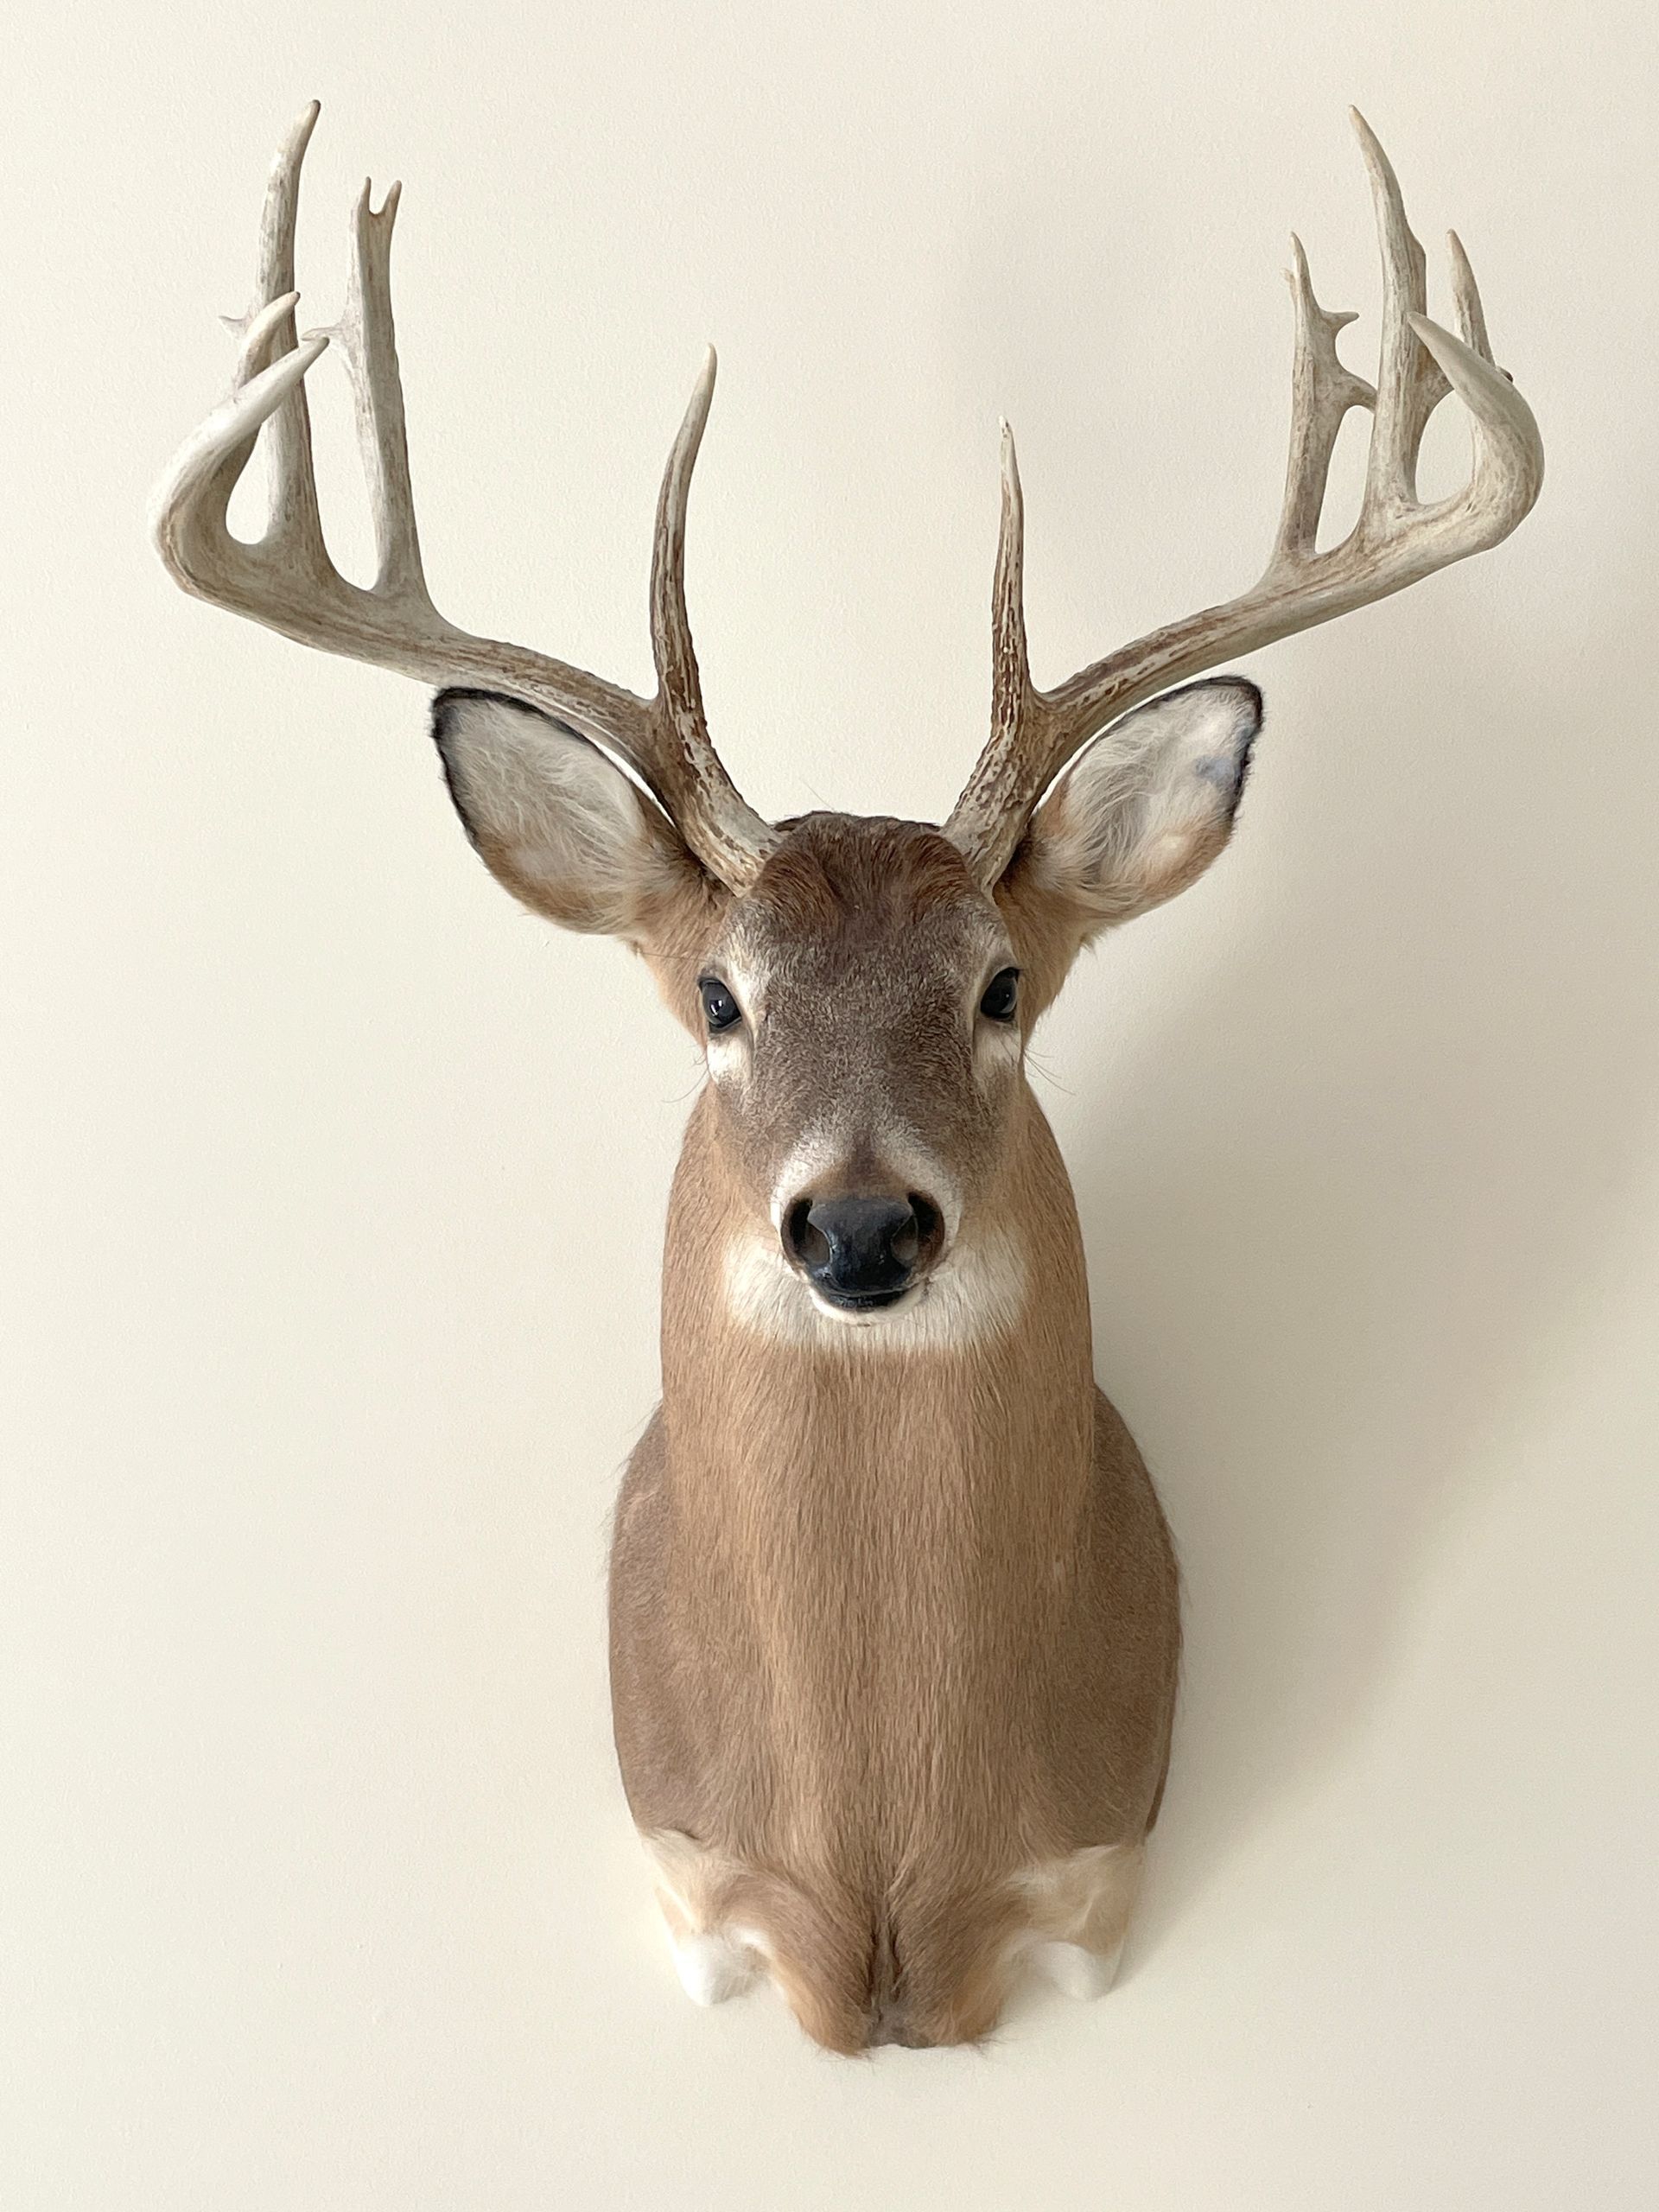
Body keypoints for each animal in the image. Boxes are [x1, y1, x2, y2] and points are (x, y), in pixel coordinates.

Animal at [151, 103, 1541, 2052]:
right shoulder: (693, 1877)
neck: (886, 1864)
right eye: (718, 996)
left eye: (1003, 982)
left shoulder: (1088, 1882)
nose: (863, 1225)